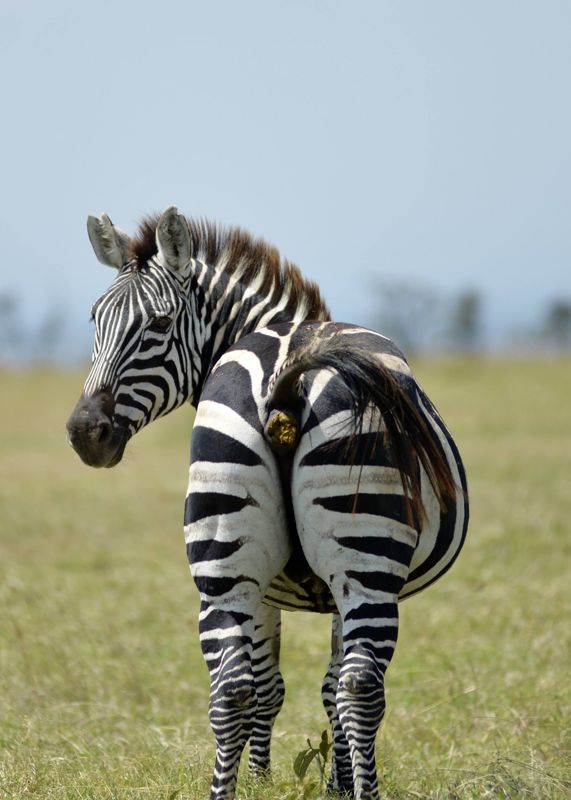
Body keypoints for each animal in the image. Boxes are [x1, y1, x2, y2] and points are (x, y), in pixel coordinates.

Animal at [66, 206, 468, 800]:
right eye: (95, 321)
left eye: (159, 326)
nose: (83, 433)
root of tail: (286, 372)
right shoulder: (307, 591)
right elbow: (312, 685)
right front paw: (322, 783)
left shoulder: (267, 587)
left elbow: (280, 685)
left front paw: (280, 781)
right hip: (364, 561)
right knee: (358, 688)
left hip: (227, 568)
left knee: (232, 690)